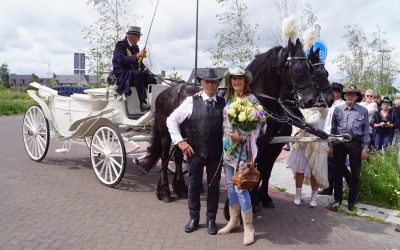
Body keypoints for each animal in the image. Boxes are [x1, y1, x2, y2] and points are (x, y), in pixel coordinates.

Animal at [138, 37, 322, 203]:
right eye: (298, 69)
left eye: (311, 69)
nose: (311, 100)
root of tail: (167, 91)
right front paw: (253, 201)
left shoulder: (267, 143)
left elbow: (262, 169)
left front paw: (256, 199)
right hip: (166, 132)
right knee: (164, 155)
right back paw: (165, 192)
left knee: (176, 156)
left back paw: (181, 188)